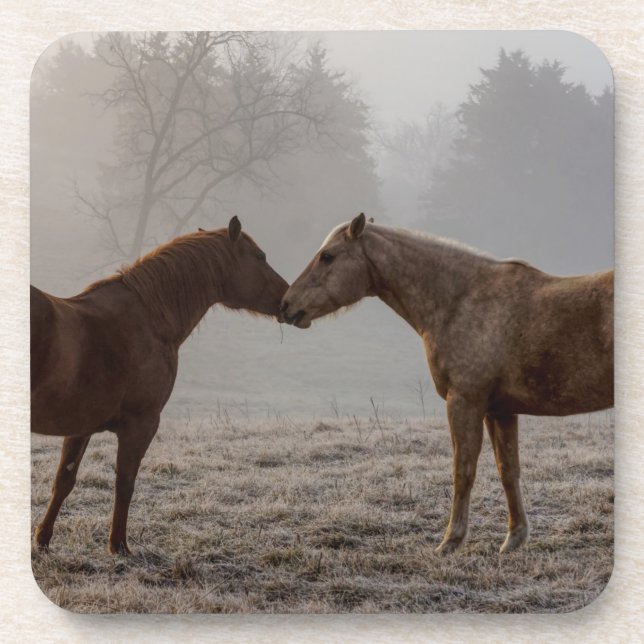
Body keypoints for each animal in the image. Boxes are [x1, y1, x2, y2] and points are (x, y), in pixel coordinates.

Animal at [32, 217, 288, 554]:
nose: (288, 300)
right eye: (260, 256)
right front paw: (119, 546)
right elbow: (125, 483)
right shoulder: (142, 425)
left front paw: (42, 539)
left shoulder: (80, 425)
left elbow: (64, 481)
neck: (150, 319)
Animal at [280, 213, 613, 554]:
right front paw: (514, 538)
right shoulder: (499, 410)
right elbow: (508, 470)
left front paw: (451, 540)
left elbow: (462, 471)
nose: (286, 305)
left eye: (327, 256)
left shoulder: (464, 402)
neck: (461, 301)